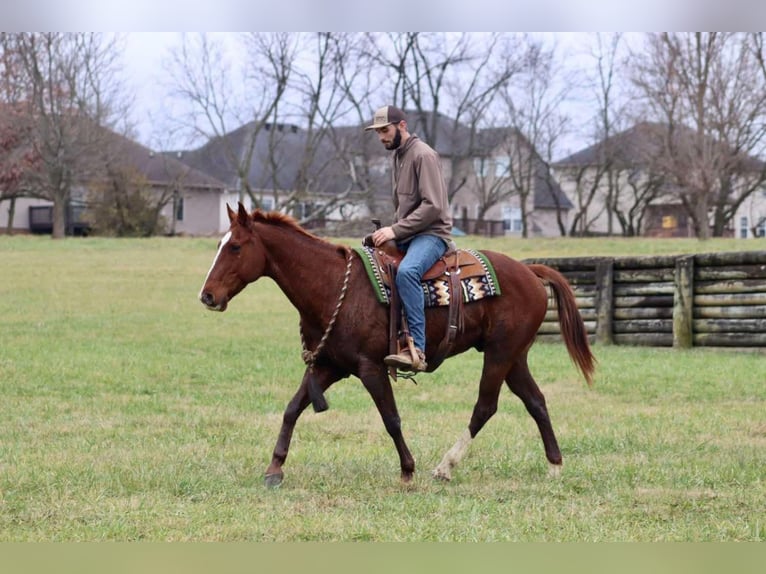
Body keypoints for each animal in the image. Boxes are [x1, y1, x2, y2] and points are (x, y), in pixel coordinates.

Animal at [199, 203, 595, 487]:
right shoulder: (329, 366)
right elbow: (292, 409)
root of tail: (531, 271)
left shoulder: (370, 368)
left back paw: (445, 466)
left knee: (486, 406)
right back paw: (555, 466)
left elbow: (390, 417)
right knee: (536, 402)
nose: (207, 295)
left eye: (235, 246)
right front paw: (274, 469)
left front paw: (407, 469)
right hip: (515, 357)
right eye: (219, 244)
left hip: (500, 354)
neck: (332, 286)